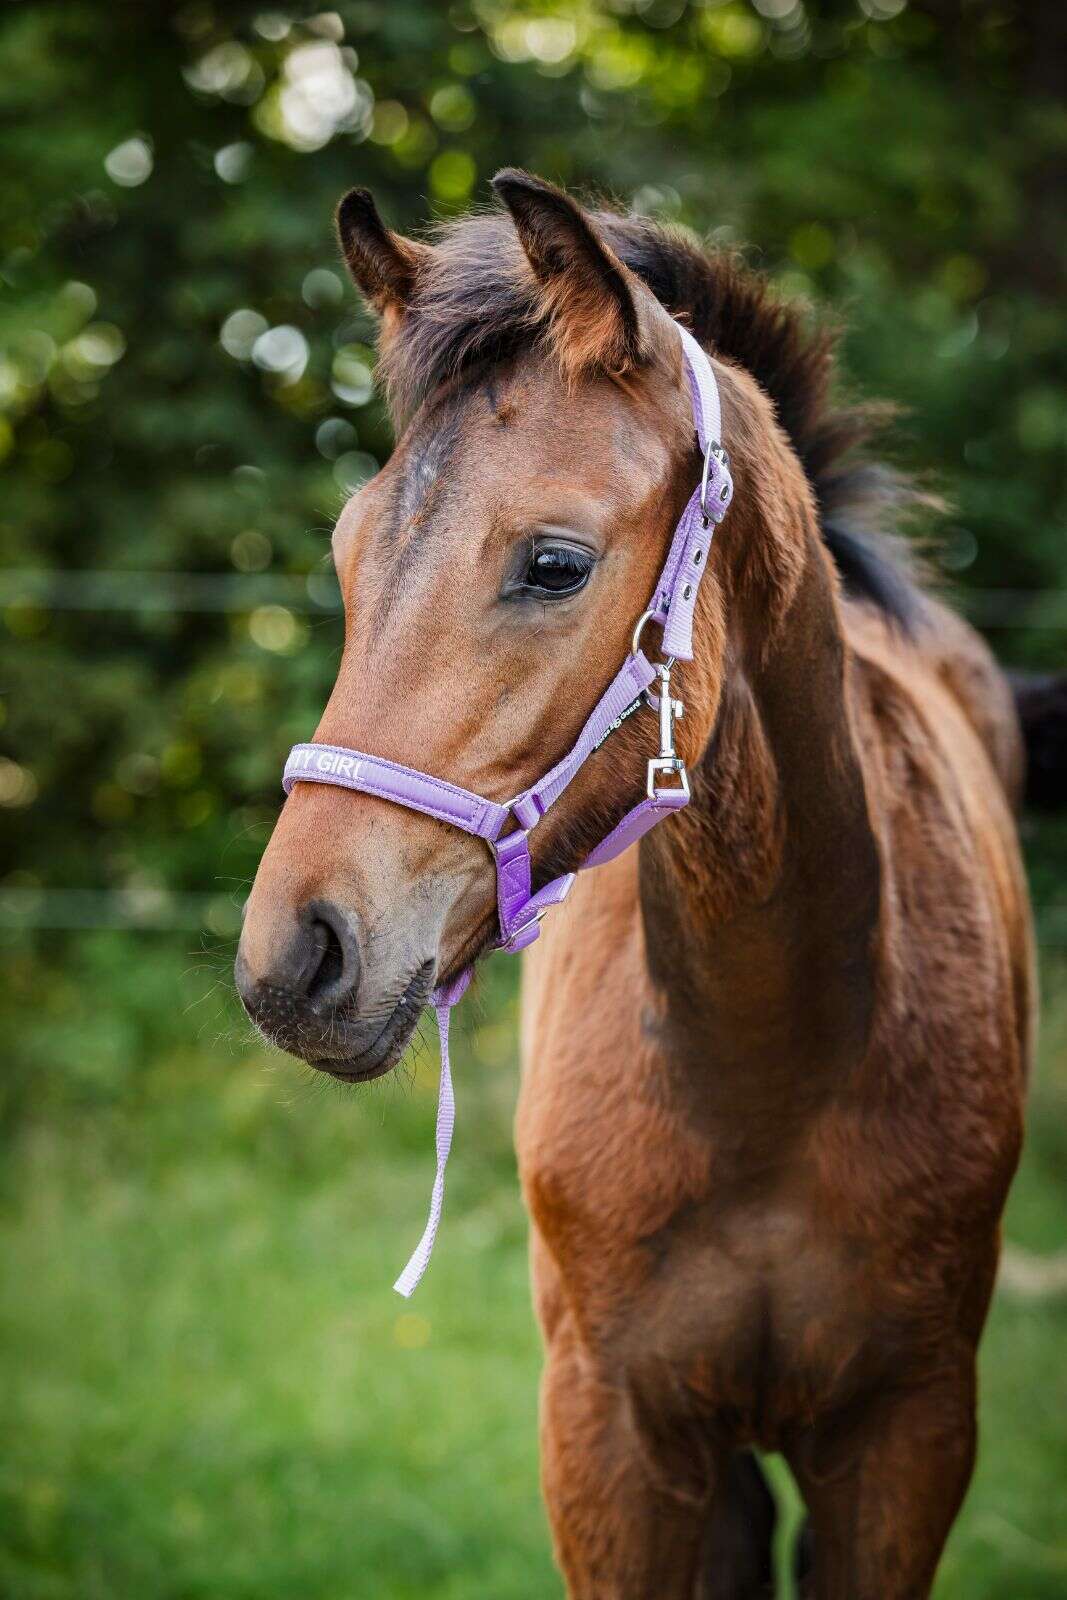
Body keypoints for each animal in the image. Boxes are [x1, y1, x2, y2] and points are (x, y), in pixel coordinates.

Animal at [236, 171, 1037, 1598]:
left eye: (552, 562)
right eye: (344, 552)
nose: (296, 956)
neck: (767, 1066)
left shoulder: (904, 1438)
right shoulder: (608, 1439)